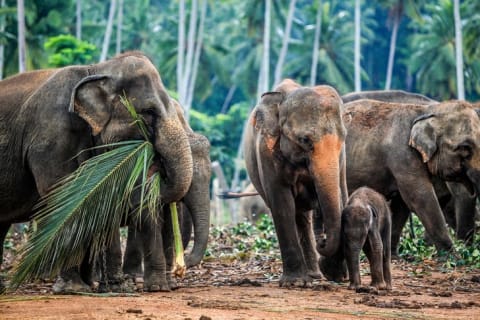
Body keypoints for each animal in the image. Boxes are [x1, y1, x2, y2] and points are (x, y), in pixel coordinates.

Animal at [1, 52, 195, 292]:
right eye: (148, 112)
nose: (156, 162)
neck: (96, 69)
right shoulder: (51, 138)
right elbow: (62, 196)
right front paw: (75, 289)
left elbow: (97, 199)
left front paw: (108, 287)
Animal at [246, 79, 346, 286]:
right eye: (304, 140)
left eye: (343, 139)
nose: (322, 241)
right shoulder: (266, 151)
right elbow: (282, 204)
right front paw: (294, 282)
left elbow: (339, 196)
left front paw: (335, 274)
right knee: (297, 214)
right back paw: (309, 276)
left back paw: (315, 275)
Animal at [342, 98, 480, 260]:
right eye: (465, 147)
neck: (427, 111)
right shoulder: (404, 158)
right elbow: (420, 199)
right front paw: (454, 257)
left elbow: (401, 206)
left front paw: (394, 256)